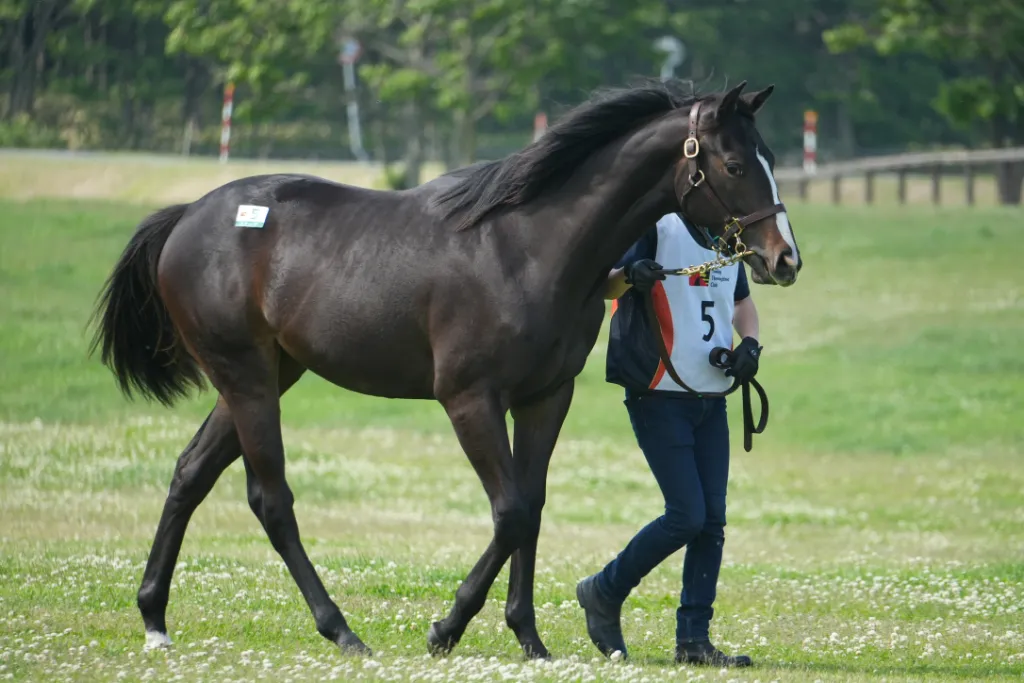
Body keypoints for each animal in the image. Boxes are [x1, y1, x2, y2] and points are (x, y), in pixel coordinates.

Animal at [89, 78, 802, 660]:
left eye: (770, 159)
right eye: (735, 163)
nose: (784, 258)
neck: (528, 247)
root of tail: (188, 216)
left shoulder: (546, 397)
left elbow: (533, 507)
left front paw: (529, 638)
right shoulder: (469, 399)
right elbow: (510, 511)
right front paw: (447, 627)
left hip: (265, 375)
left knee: (190, 473)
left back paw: (154, 618)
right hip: (248, 379)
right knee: (271, 499)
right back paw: (341, 630)